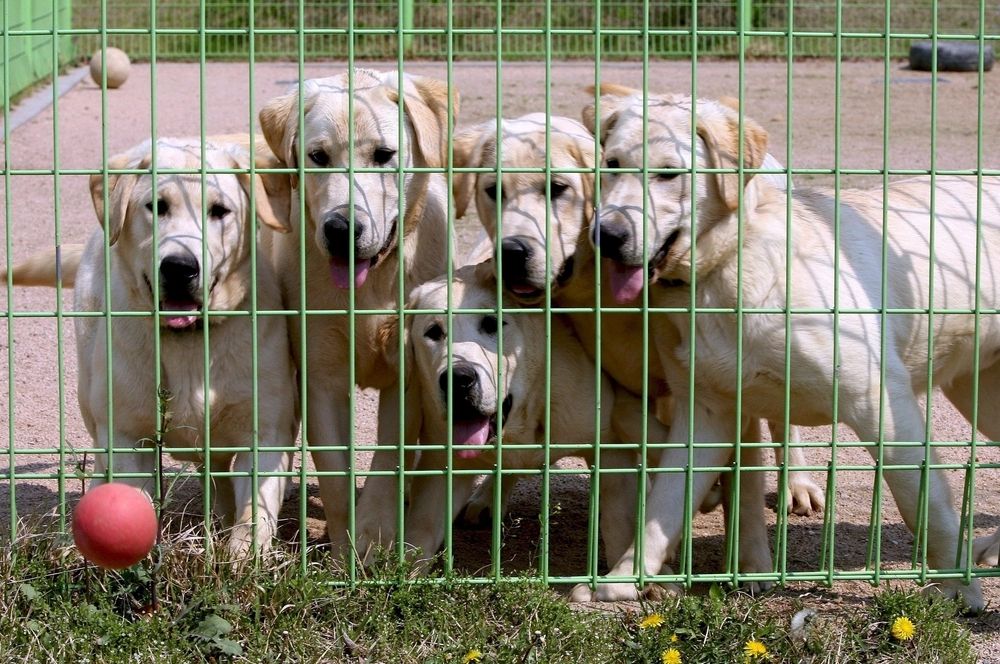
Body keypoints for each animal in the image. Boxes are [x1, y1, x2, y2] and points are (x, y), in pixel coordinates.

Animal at [5, 137, 298, 556]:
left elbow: (252, 521)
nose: (179, 267)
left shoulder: (265, 434)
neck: (188, 342)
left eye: (220, 211)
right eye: (157, 206)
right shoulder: (130, 440)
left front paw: (241, 562)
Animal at [258, 69, 457, 560]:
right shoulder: (321, 376)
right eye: (318, 156)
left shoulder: (409, 371)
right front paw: (347, 552)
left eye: (384, 155)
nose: (342, 228)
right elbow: (334, 473)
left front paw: (375, 535)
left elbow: (389, 457)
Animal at [580, 83, 996, 611]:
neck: (728, 268)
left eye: (669, 172)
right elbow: (663, 507)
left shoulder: (881, 405)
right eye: (611, 164)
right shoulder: (707, 413)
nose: (605, 236)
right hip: (979, 394)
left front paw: (960, 590)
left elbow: (924, 507)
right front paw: (622, 581)